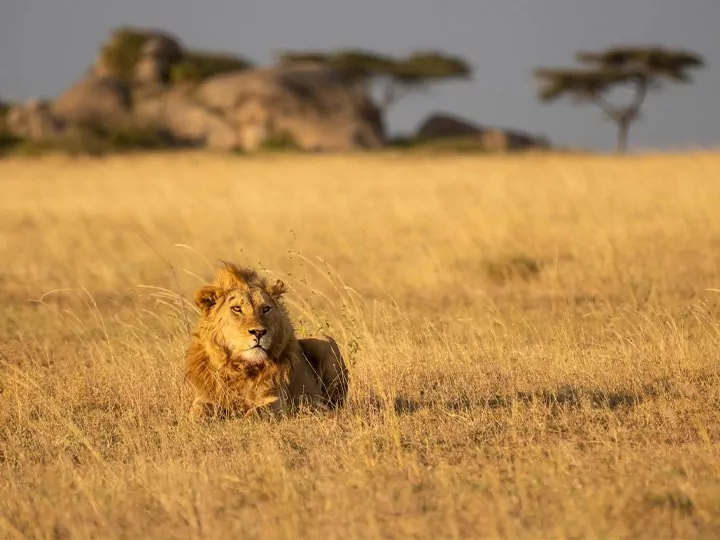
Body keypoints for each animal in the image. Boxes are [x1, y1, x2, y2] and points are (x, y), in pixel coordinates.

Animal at [184, 262, 350, 422]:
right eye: (236, 308)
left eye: (266, 309)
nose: (258, 332)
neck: (242, 368)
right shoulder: (204, 397)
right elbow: (196, 411)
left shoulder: (276, 401)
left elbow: (257, 412)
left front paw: (242, 420)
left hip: (324, 342)